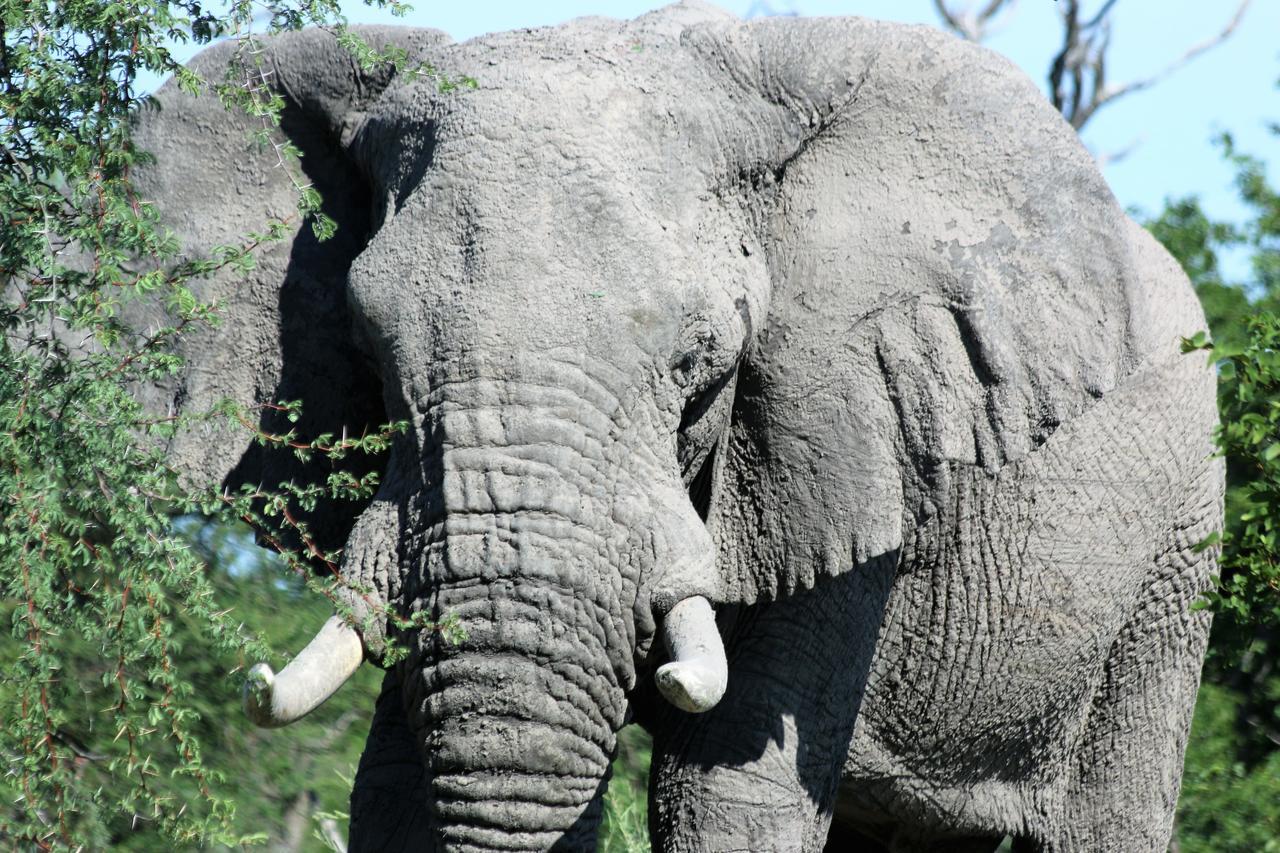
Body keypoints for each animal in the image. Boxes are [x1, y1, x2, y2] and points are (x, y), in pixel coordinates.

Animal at [135, 3, 1223, 845]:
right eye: (368, 343)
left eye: (702, 362)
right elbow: (398, 784)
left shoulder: (841, 439)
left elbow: (725, 789)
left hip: (1175, 559)